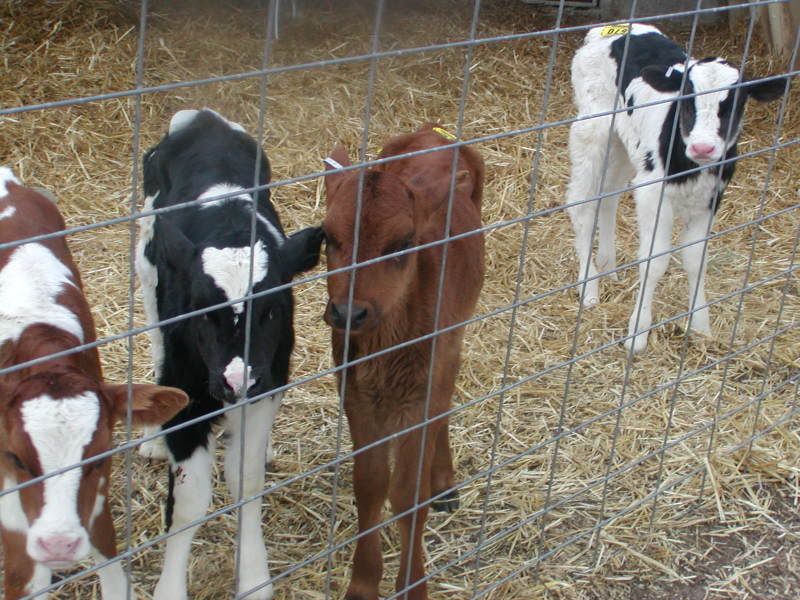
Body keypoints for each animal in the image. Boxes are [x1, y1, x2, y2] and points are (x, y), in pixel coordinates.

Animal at [135, 108, 323, 600]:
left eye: (273, 309)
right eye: (203, 312)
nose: (237, 381)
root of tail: (202, 120)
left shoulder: (266, 384)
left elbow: (247, 480)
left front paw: (254, 578)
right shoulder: (190, 396)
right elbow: (189, 502)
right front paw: (170, 589)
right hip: (145, 261)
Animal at [321, 124, 485, 600]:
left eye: (403, 243)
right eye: (328, 238)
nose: (348, 313)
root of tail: (433, 133)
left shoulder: (421, 391)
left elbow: (409, 496)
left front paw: (413, 586)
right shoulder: (355, 393)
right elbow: (371, 486)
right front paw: (362, 584)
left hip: (453, 339)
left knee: (446, 398)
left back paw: (444, 481)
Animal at [564, 23, 785, 353]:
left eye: (735, 103)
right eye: (687, 98)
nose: (704, 147)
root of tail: (606, 30)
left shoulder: (711, 196)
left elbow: (696, 258)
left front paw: (701, 325)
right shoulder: (652, 192)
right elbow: (655, 259)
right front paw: (637, 332)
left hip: (626, 145)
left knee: (610, 195)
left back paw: (609, 266)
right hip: (593, 129)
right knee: (582, 204)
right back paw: (589, 284)